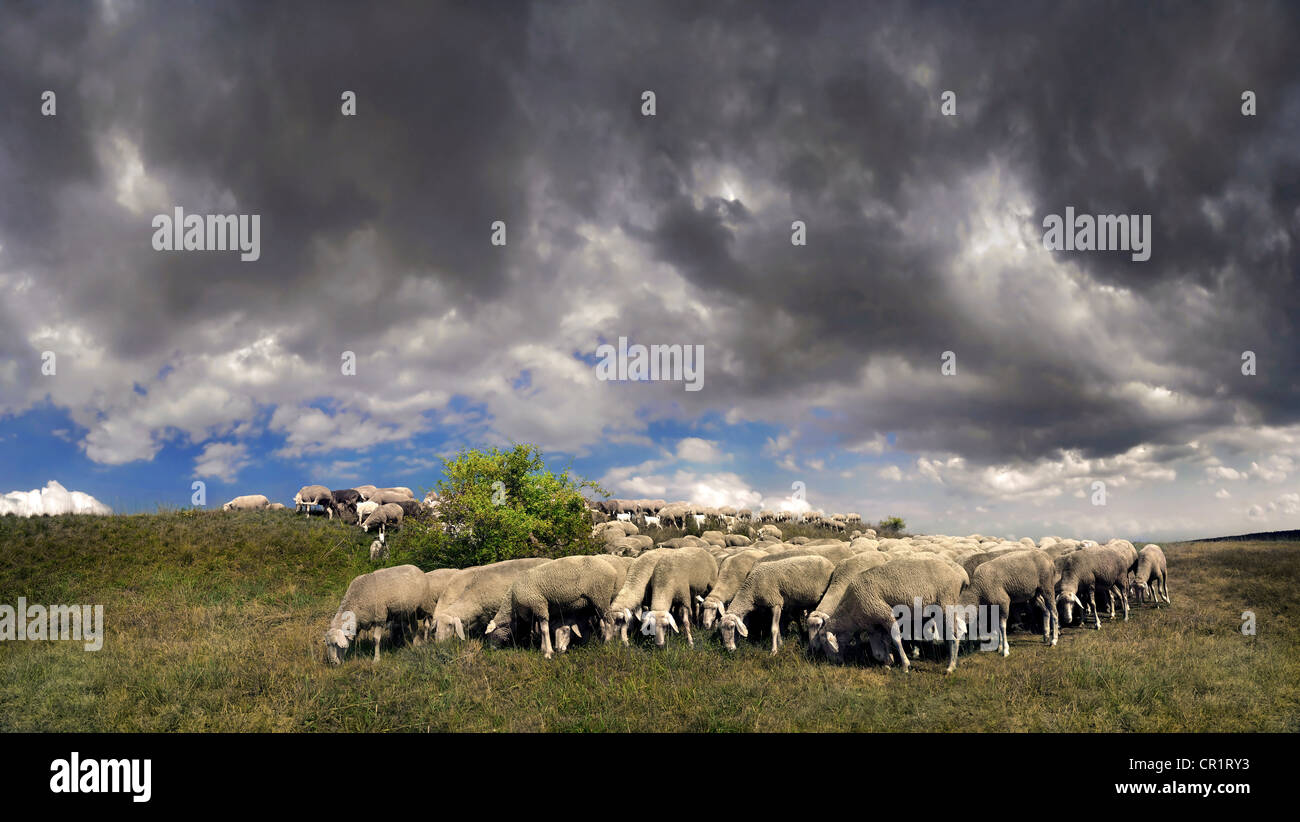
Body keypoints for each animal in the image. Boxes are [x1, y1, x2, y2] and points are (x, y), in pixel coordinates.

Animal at [486, 556, 621, 658]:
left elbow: (544, 629)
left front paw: (548, 652)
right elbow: (540, 630)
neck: (512, 601)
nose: (491, 649)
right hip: (595, 601)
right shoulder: (535, 611)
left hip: (600, 595)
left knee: (609, 621)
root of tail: (613, 570)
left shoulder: (539, 604)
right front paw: (543, 648)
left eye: (491, 634)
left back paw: (607, 643)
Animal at [811, 551, 967, 676]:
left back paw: (950, 667)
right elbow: (883, 644)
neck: (850, 613)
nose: (833, 662)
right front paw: (888, 662)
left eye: (824, 642)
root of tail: (959, 576)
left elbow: (896, 639)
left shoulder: (885, 613)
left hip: (946, 602)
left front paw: (905, 665)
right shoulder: (875, 624)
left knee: (954, 635)